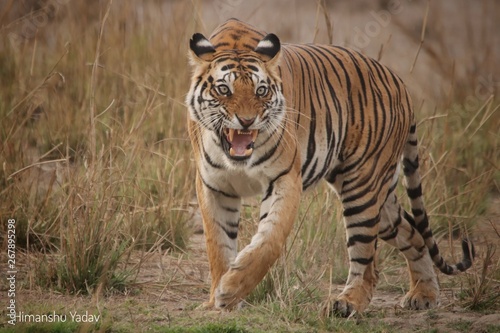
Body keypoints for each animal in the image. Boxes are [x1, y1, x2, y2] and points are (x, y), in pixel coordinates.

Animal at [186, 18, 474, 316]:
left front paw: (231, 289)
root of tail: (399, 82)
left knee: (367, 263)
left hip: (362, 187)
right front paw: (217, 299)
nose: (246, 121)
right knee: (414, 233)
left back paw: (347, 303)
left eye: (261, 91)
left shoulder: (285, 179)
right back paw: (423, 294)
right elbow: (217, 245)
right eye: (224, 90)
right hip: (382, 203)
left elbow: (269, 240)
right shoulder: (214, 186)